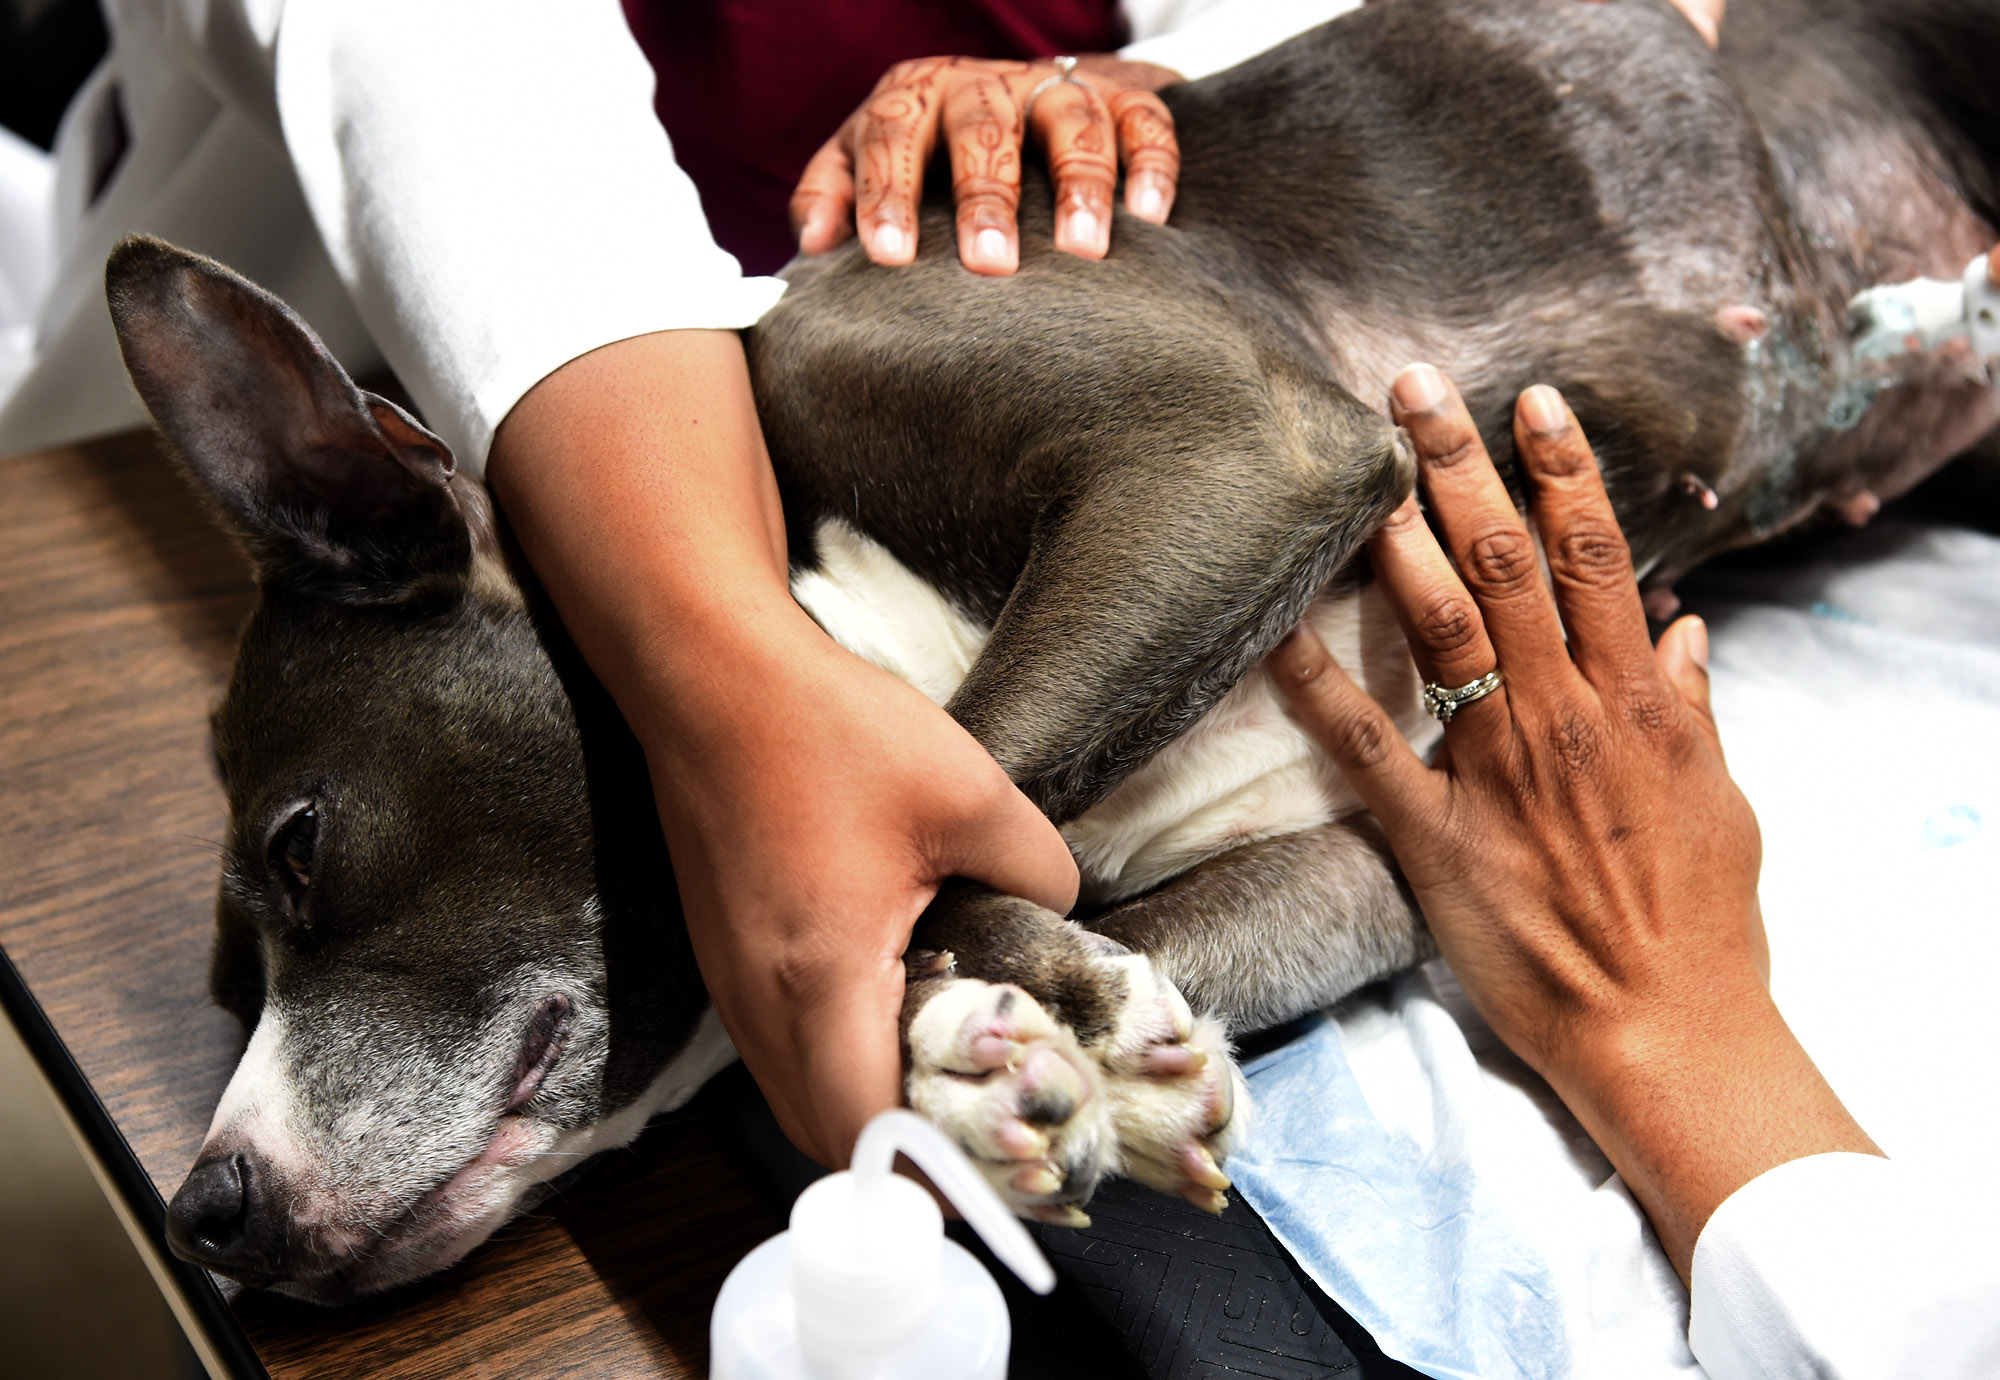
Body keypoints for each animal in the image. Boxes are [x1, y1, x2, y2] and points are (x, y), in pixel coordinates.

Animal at [106, 0, 1997, 1303]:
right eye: (230, 968)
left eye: (300, 845)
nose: (206, 1213)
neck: (858, 617)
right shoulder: (1376, 866)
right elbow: (1053, 885)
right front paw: (1012, 1049)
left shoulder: (1230, 451)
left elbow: (955, 819)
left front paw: (986, 1018)